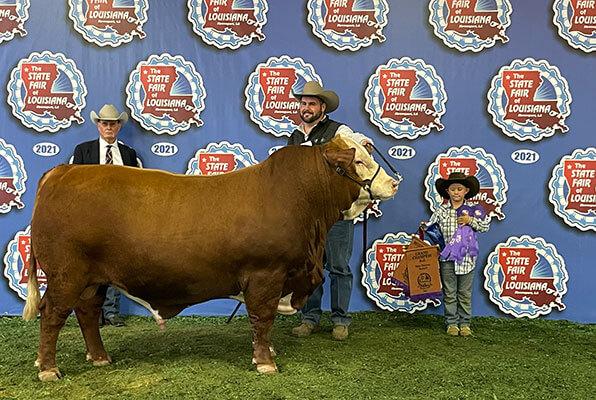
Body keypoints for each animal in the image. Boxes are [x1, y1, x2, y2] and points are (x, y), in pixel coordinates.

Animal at [23, 134, 398, 378]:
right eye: (359, 161)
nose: (394, 183)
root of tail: (64, 171)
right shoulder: (265, 274)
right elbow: (262, 318)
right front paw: (265, 362)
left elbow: (263, 322)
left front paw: (268, 352)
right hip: (66, 274)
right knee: (52, 314)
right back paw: (49, 368)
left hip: (93, 279)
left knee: (87, 313)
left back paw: (99, 358)